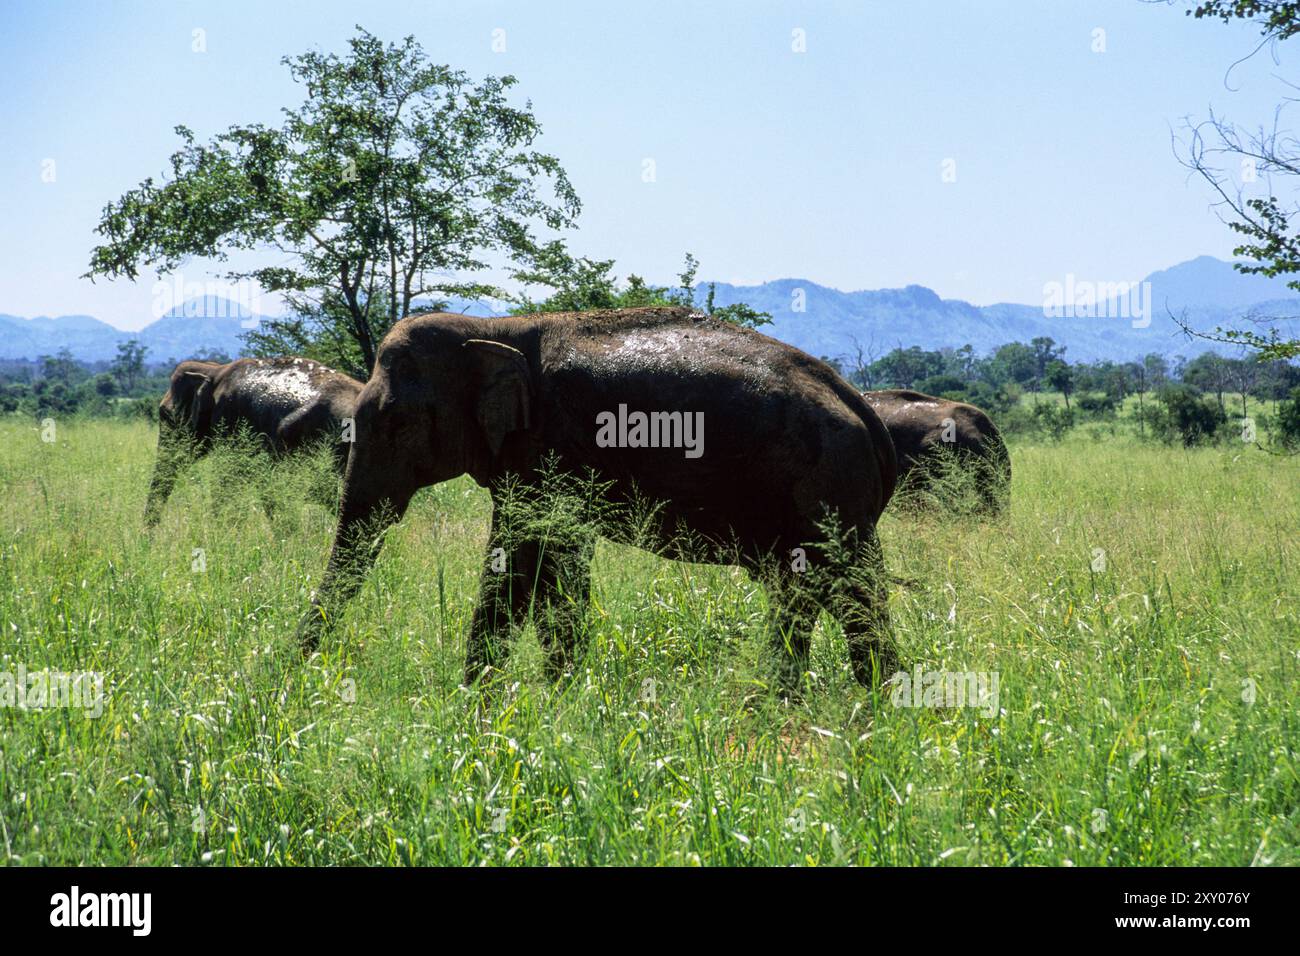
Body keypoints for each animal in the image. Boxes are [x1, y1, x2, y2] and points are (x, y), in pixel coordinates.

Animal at [297, 304, 899, 686]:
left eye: (397, 422)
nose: (293, 676)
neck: (496, 327)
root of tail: (866, 414)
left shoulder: (550, 451)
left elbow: (521, 565)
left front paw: (483, 704)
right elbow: (550, 571)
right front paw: (549, 692)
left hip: (827, 491)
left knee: (846, 597)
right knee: (810, 596)